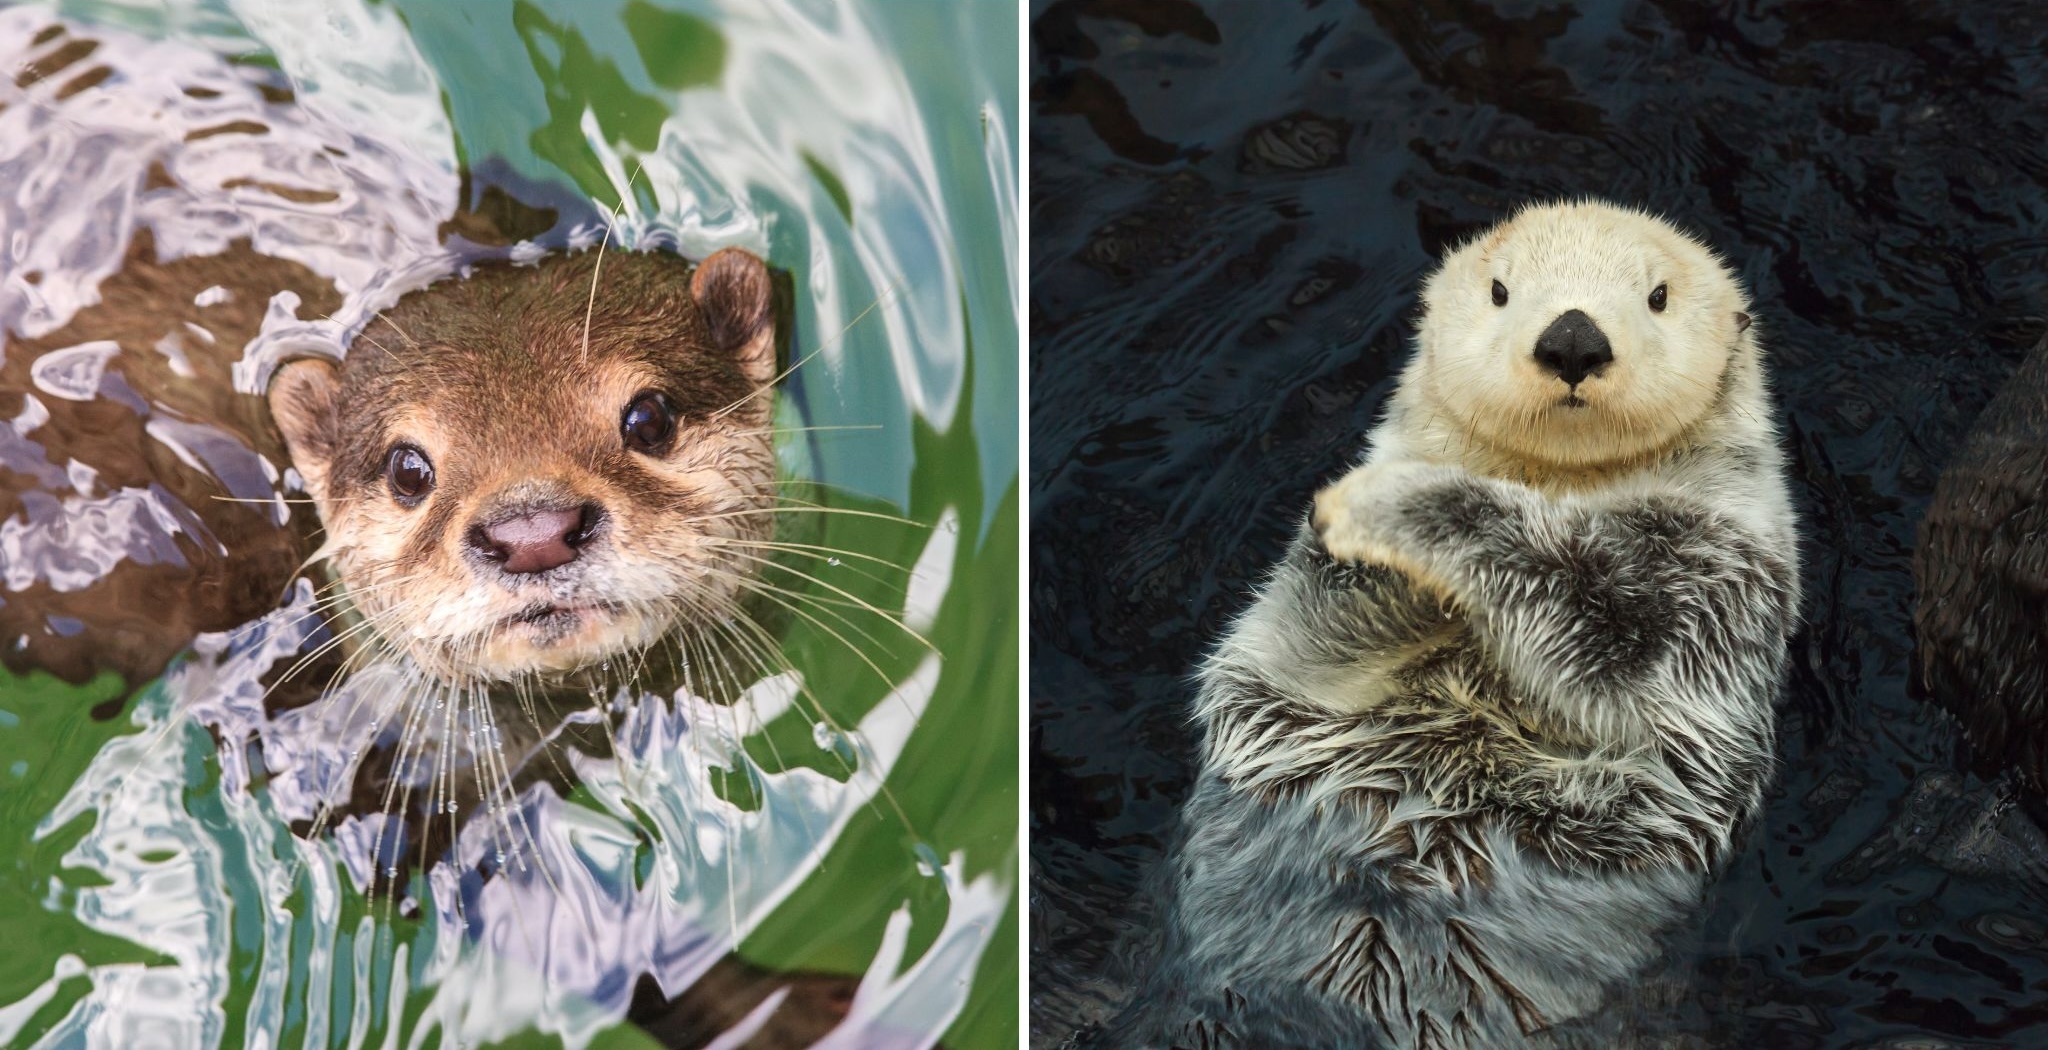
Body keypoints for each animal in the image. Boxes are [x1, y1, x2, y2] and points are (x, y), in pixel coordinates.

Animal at [1084, 201, 1800, 1048]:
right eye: (1500, 290)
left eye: (1657, 297)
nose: (1573, 339)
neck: (1558, 483)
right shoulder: (1298, 638)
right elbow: (1312, 633)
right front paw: (1363, 533)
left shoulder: (1712, 582)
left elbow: (1603, 630)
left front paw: (1392, 504)